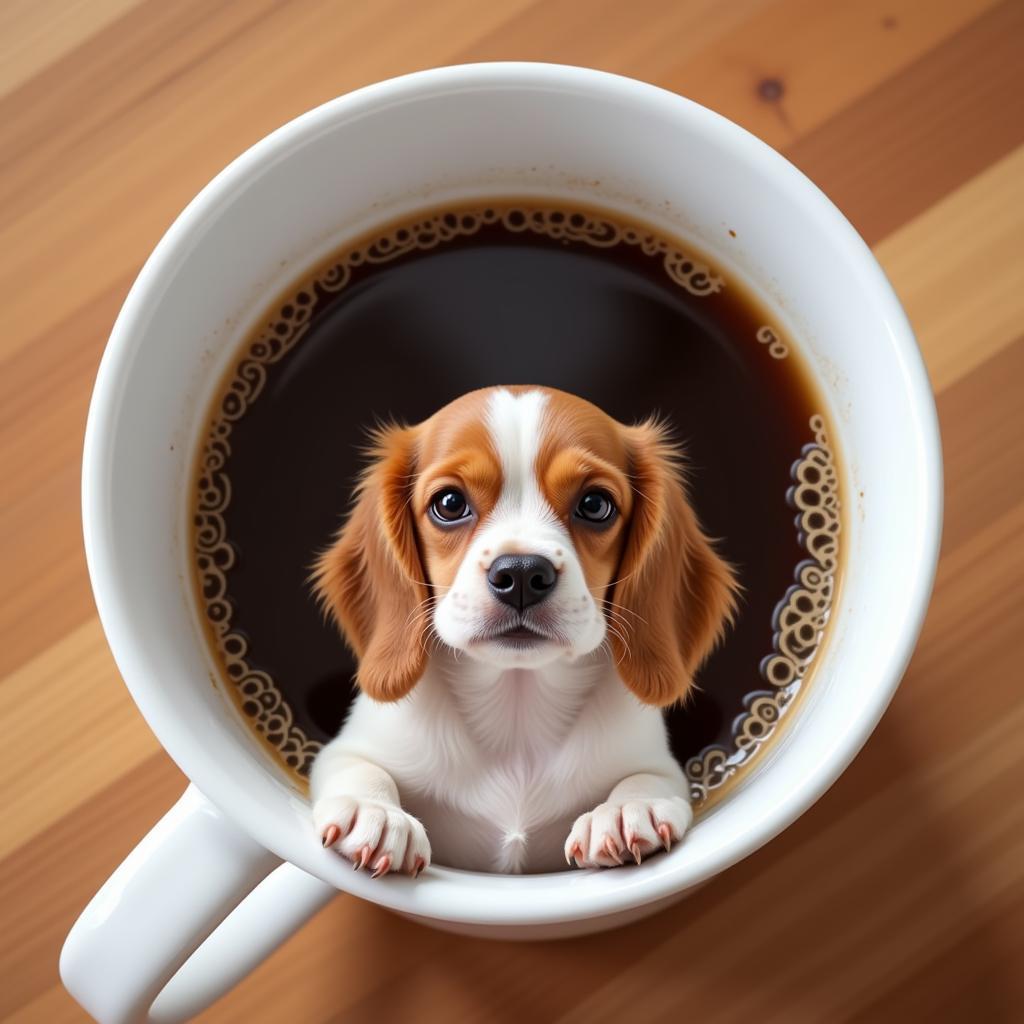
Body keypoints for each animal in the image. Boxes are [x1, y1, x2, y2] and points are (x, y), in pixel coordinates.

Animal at [309, 387, 737, 876]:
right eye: (449, 504)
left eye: (595, 505)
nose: (520, 574)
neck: (517, 708)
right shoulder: (349, 748)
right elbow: (358, 767)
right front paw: (376, 812)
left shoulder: (657, 763)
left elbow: (650, 778)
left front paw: (629, 809)